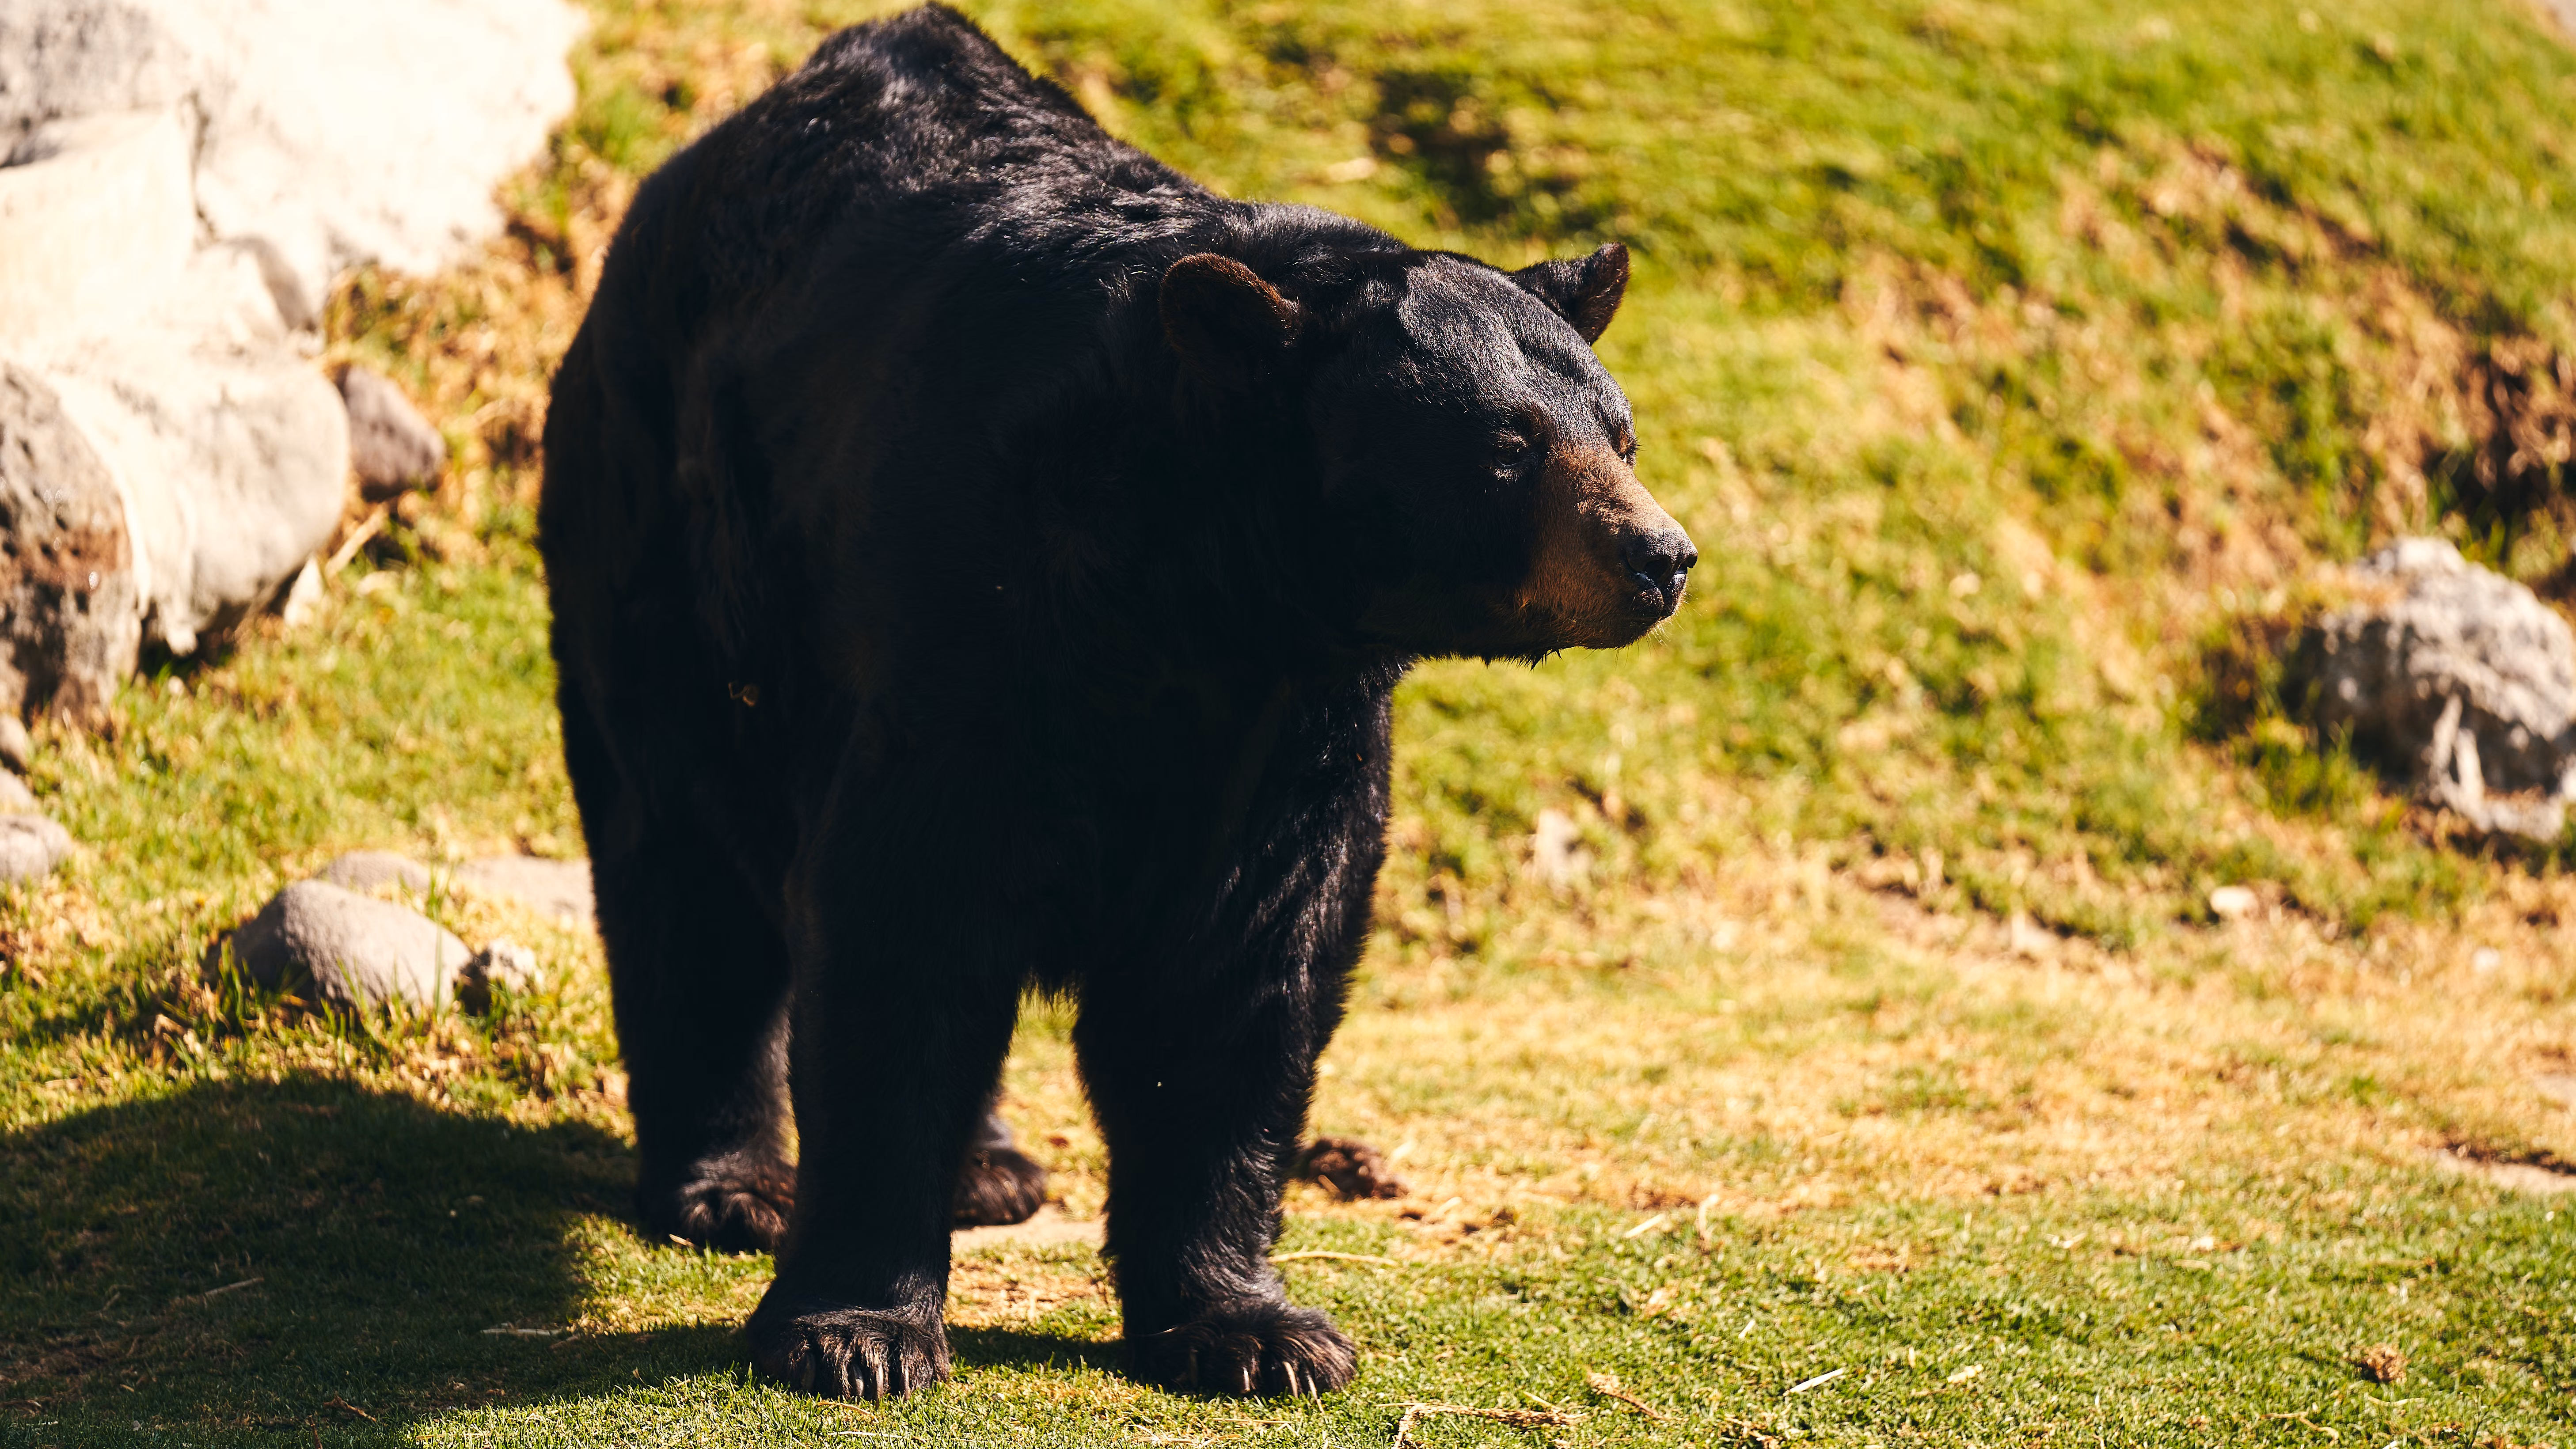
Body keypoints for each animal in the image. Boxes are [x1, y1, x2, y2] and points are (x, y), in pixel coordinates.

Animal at [537, 3, 1694, 1401]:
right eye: (1506, 448)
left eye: (1618, 434)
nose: (1659, 556)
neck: (1191, 598)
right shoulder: (975, 632)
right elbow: (904, 925)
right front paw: (855, 1330)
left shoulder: (1289, 730)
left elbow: (1240, 976)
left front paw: (1252, 1328)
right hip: (667, 542)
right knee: (683, 856)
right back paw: (734, 1184)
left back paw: (987, 1167)